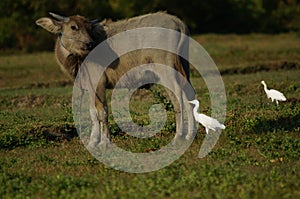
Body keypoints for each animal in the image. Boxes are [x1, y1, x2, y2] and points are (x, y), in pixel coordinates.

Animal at [35, 11, 195, 147]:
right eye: (74, 27)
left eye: (89, 28)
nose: (90, 44)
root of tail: (176, 21)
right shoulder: (90, 87)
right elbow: (92, 113)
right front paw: (93, 142)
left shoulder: (98, 83)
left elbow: (102, 112)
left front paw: (105, 142)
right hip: (183, 68)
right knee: (189, 95)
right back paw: (190, 134)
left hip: (166, 71)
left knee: (177, 96)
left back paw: (179, 136)